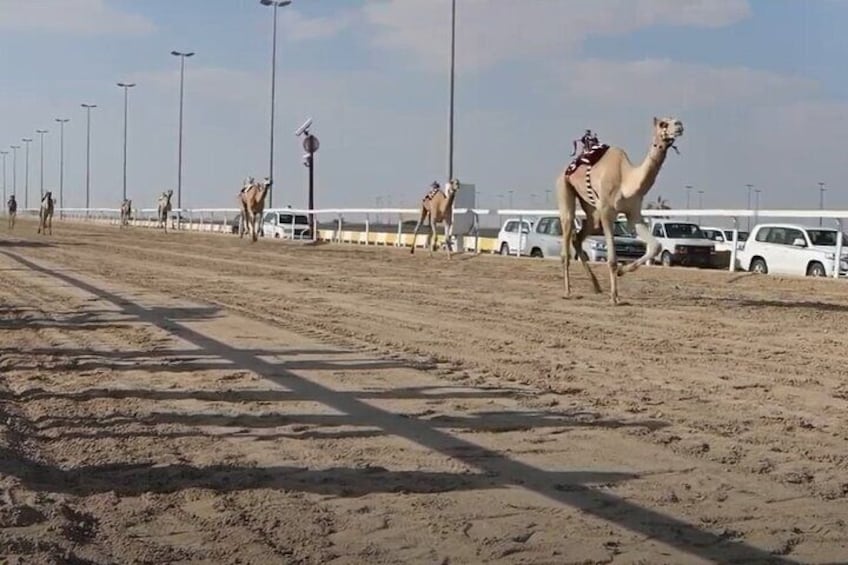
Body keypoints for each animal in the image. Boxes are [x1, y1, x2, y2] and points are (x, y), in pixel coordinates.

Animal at [552, 115, 684, 306]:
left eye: (676, 120)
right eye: (663, 124)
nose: (680, 126)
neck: (627, 179)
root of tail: (567, 167)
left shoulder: (633, 213)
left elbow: (656, 246)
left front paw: (622, 271)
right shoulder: (607, 212)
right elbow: (612, 259)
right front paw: (614, 297)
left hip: (592, 211)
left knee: (579, 237)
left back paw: (596, 286)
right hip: (564, 188)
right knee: (567, 236)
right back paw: (568, 291)